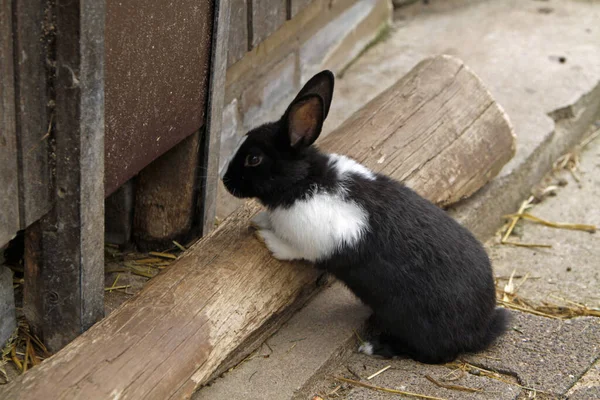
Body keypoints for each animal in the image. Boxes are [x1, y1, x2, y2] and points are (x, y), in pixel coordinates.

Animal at [223, 70, 508, 364]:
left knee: (432, 353)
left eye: (254, 159)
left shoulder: (313, 242)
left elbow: (291, 249)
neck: (306, 181)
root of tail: (480, 330)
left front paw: (265, 237)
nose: (225, 181)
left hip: (415, 325)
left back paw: (374, 346)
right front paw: (260, 221)